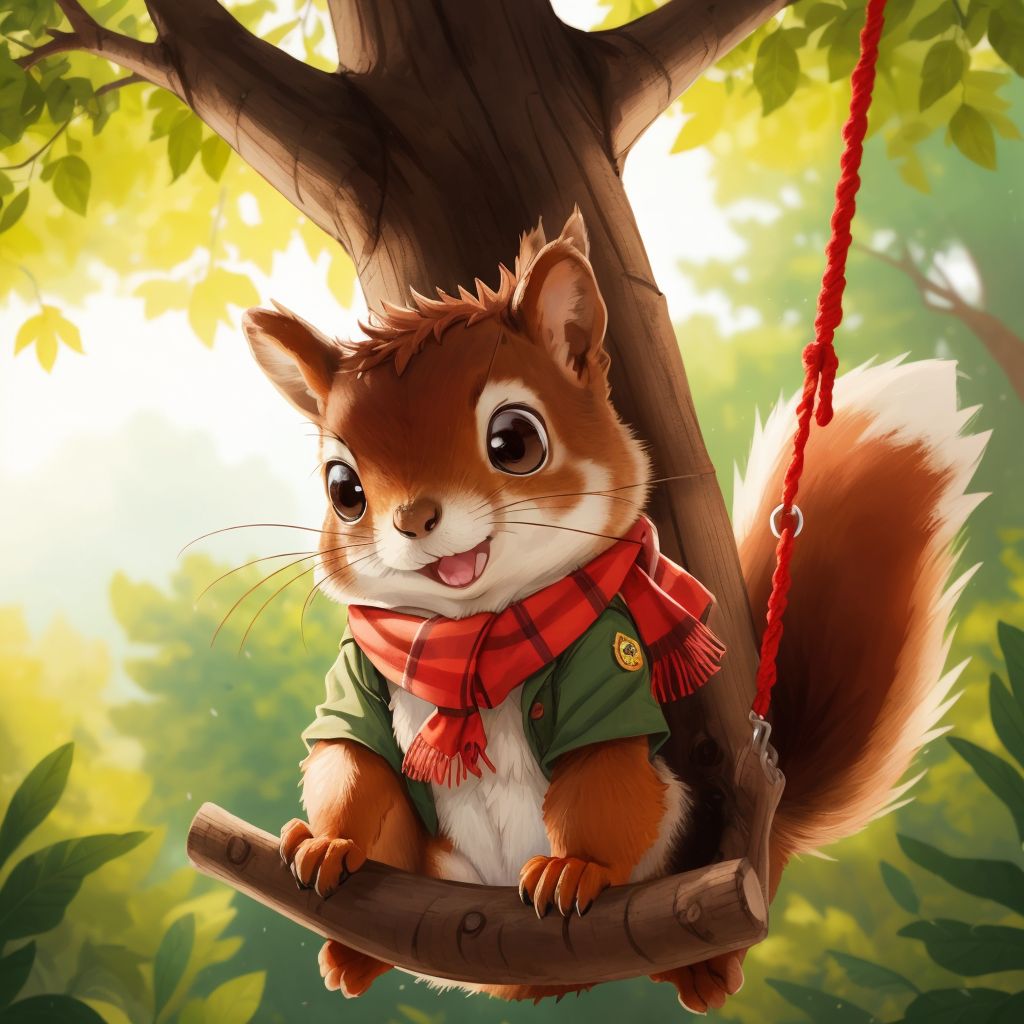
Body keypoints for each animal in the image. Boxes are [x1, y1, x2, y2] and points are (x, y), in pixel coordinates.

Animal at [241, 209, 987, 1011]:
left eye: (514, 441)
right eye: (342, 488)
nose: (413, 519)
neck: (476, 629)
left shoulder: (609, 663)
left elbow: (601, 775)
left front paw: (576, 870)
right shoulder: (356, 676)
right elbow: (353, 763)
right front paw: (331, 844)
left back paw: (703, 970)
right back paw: (353, 957)